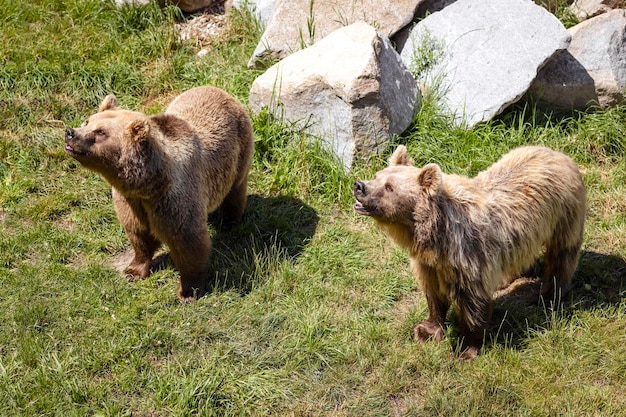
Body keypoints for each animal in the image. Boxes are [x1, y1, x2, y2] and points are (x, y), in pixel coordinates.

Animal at [64, 85, 254, 300]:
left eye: (100, 132)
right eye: (88, 121)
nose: (70, 132)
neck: (148, 184)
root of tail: (220, 91)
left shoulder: (173, 198)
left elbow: (188, 241)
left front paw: (189, 291)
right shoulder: (130, 201)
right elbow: (138, 234)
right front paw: (134, 270)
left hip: (238, 153)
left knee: (235, 191)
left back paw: (229, 222)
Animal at [352, 145, 584, 358]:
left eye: (389, 187)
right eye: (377, 175)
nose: (359, 186)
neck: (436, 238)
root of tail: (559, 154)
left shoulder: (469, 258)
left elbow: (473, 303)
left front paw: (465, 349)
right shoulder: (429, 264)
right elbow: (433, 294)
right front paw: (426, 330)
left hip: (563, 216)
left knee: (562, 255)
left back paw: (549, 295)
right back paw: (504, 280)